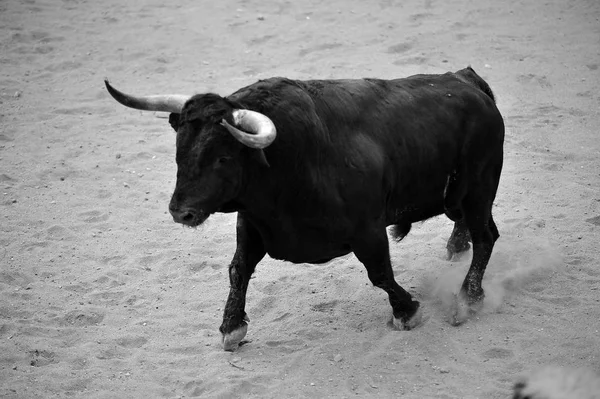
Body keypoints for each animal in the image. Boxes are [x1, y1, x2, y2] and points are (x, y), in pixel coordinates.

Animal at [105, 67, 504, 352]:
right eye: (180, 150)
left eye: (222, 157)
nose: (180, 212)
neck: (289, 158)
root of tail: (468, 81)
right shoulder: (253, 224)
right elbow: (238, 269)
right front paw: (232, 327)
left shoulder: (368, 230)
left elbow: (380, 274)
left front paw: (406, 311)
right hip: (464, 196)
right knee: (471, 227)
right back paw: (456, 247)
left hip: (479, 187)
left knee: (487, 235)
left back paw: (468, 299)